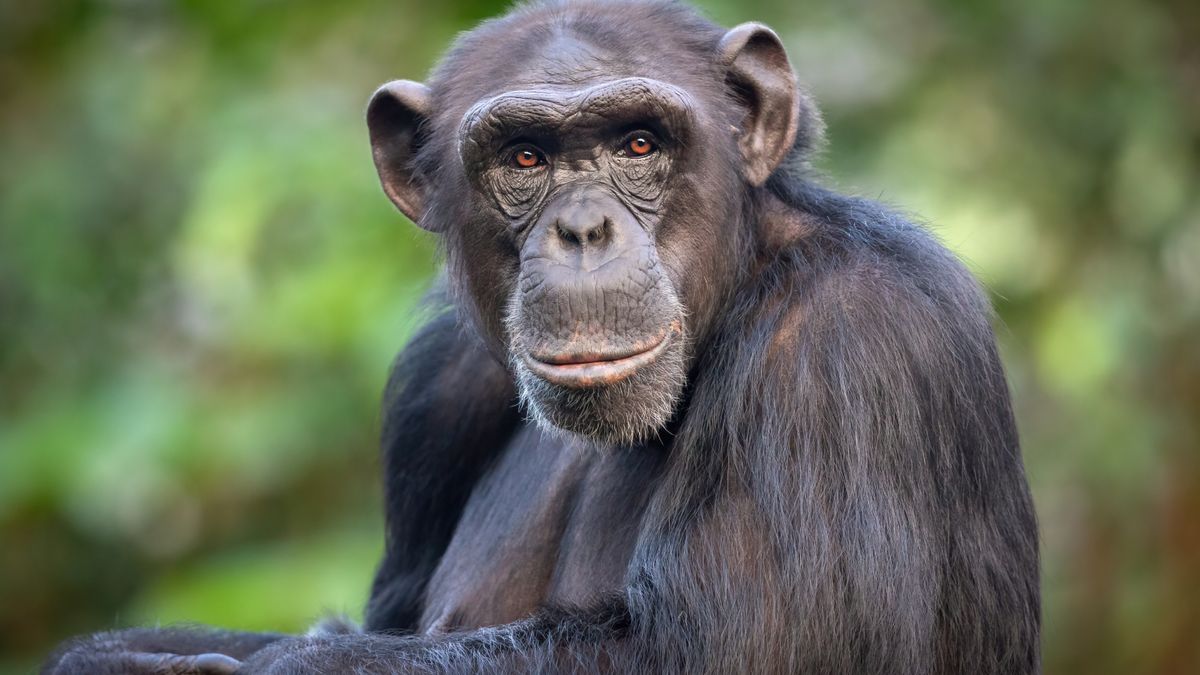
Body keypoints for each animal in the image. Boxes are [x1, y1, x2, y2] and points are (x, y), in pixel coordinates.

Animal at [44, 1, 1041, 672]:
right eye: (524, 157)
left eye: (639, 144)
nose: (583, 229)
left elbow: (720, 651)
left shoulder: (844, 341)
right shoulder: (435, 385)